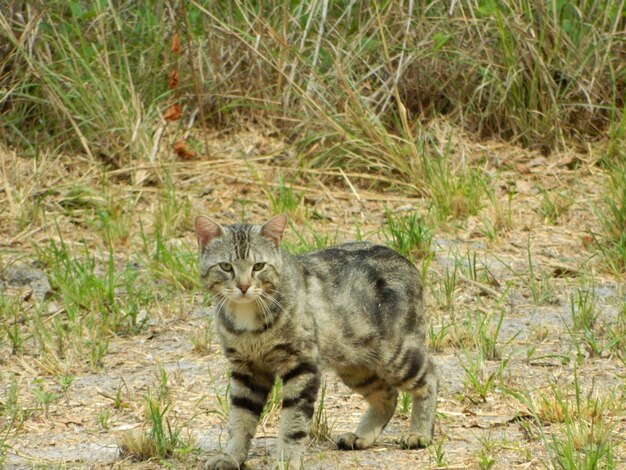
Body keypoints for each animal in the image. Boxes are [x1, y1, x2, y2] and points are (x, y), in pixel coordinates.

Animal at [194, 215, 434, 468]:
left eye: (258, 266)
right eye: (226, 266)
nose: (243, 286)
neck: (248, 319)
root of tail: (405, 260)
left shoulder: (301, 366)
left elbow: (293, 422)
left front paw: (287, 460)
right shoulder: (246, 370)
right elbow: (240, 420)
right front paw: (231, 457)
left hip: (394, 355)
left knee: (429, 376)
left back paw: (420, 433)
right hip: (355, 364)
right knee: (388, 395)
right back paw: (361, 436)